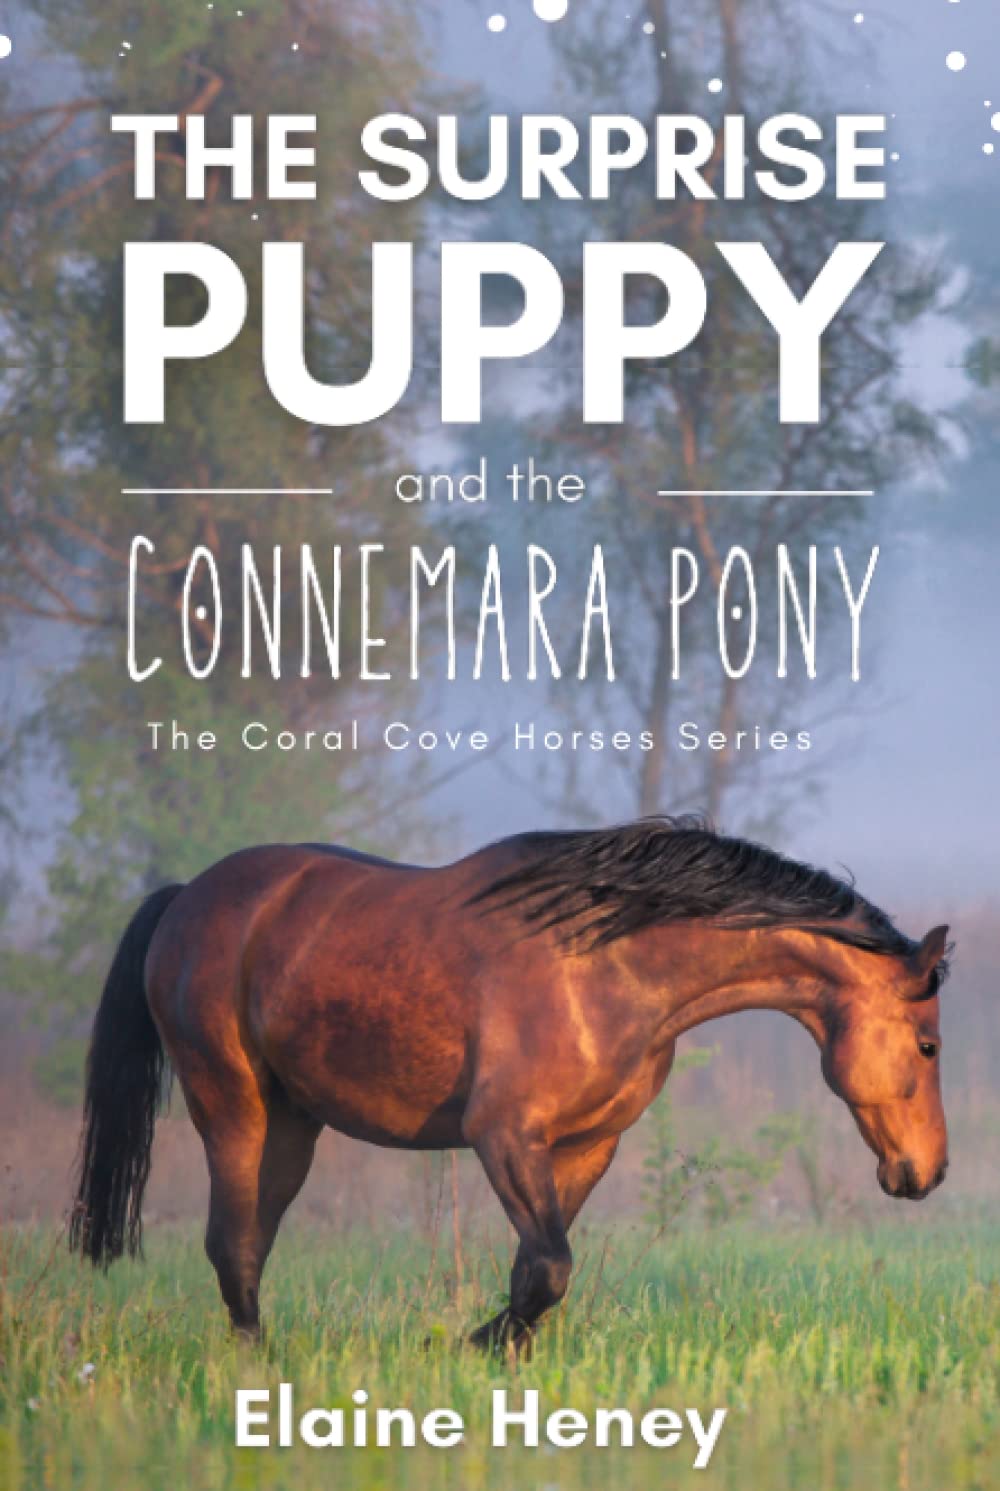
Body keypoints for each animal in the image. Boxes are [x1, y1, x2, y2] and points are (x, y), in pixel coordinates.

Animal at [69, 816, 951, 1350]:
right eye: (929, 1043)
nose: (930, 1171)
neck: (606, 964)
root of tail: (187, 899)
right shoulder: (503, 1135)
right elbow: (550, 1266)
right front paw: (467, 1345)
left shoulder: (586, 1144)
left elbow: (536, 1269)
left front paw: (493, 1353)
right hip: (232, 1106)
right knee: (234, 1243)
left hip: (292, 1124)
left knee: (248, 1241)